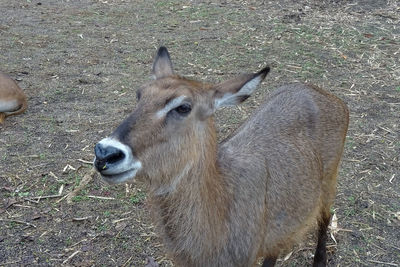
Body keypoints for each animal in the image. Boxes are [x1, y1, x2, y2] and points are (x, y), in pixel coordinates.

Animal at [94, 47, 350, 266]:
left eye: (183, 107)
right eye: (140, 95)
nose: (105, 153)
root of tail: (329, 96)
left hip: (329, 183)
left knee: (326, 217)